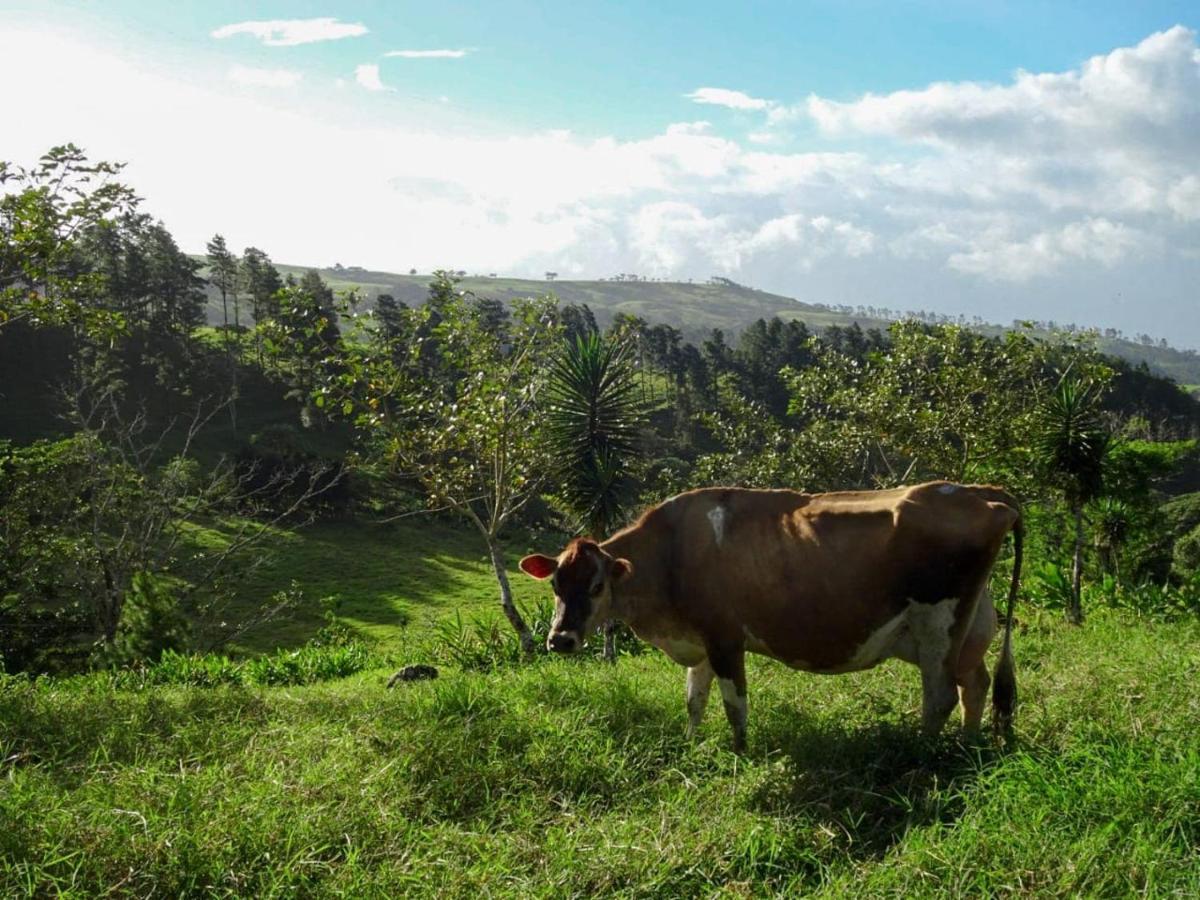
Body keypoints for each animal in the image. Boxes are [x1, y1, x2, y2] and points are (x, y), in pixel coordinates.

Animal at [518, 487, 1022, 753]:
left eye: (597, 586)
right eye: (556, 584)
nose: (560, 639)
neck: (670, 550)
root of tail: (981, 492)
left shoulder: (725, 638)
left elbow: (734, 705)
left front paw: (740, 755)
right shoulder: (700, 641)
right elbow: (694, 700)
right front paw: (689, 745)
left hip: (938, 621)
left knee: (940, 696)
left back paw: (919, 754)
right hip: (965, 626)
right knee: (974, 684)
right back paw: (967, 745)